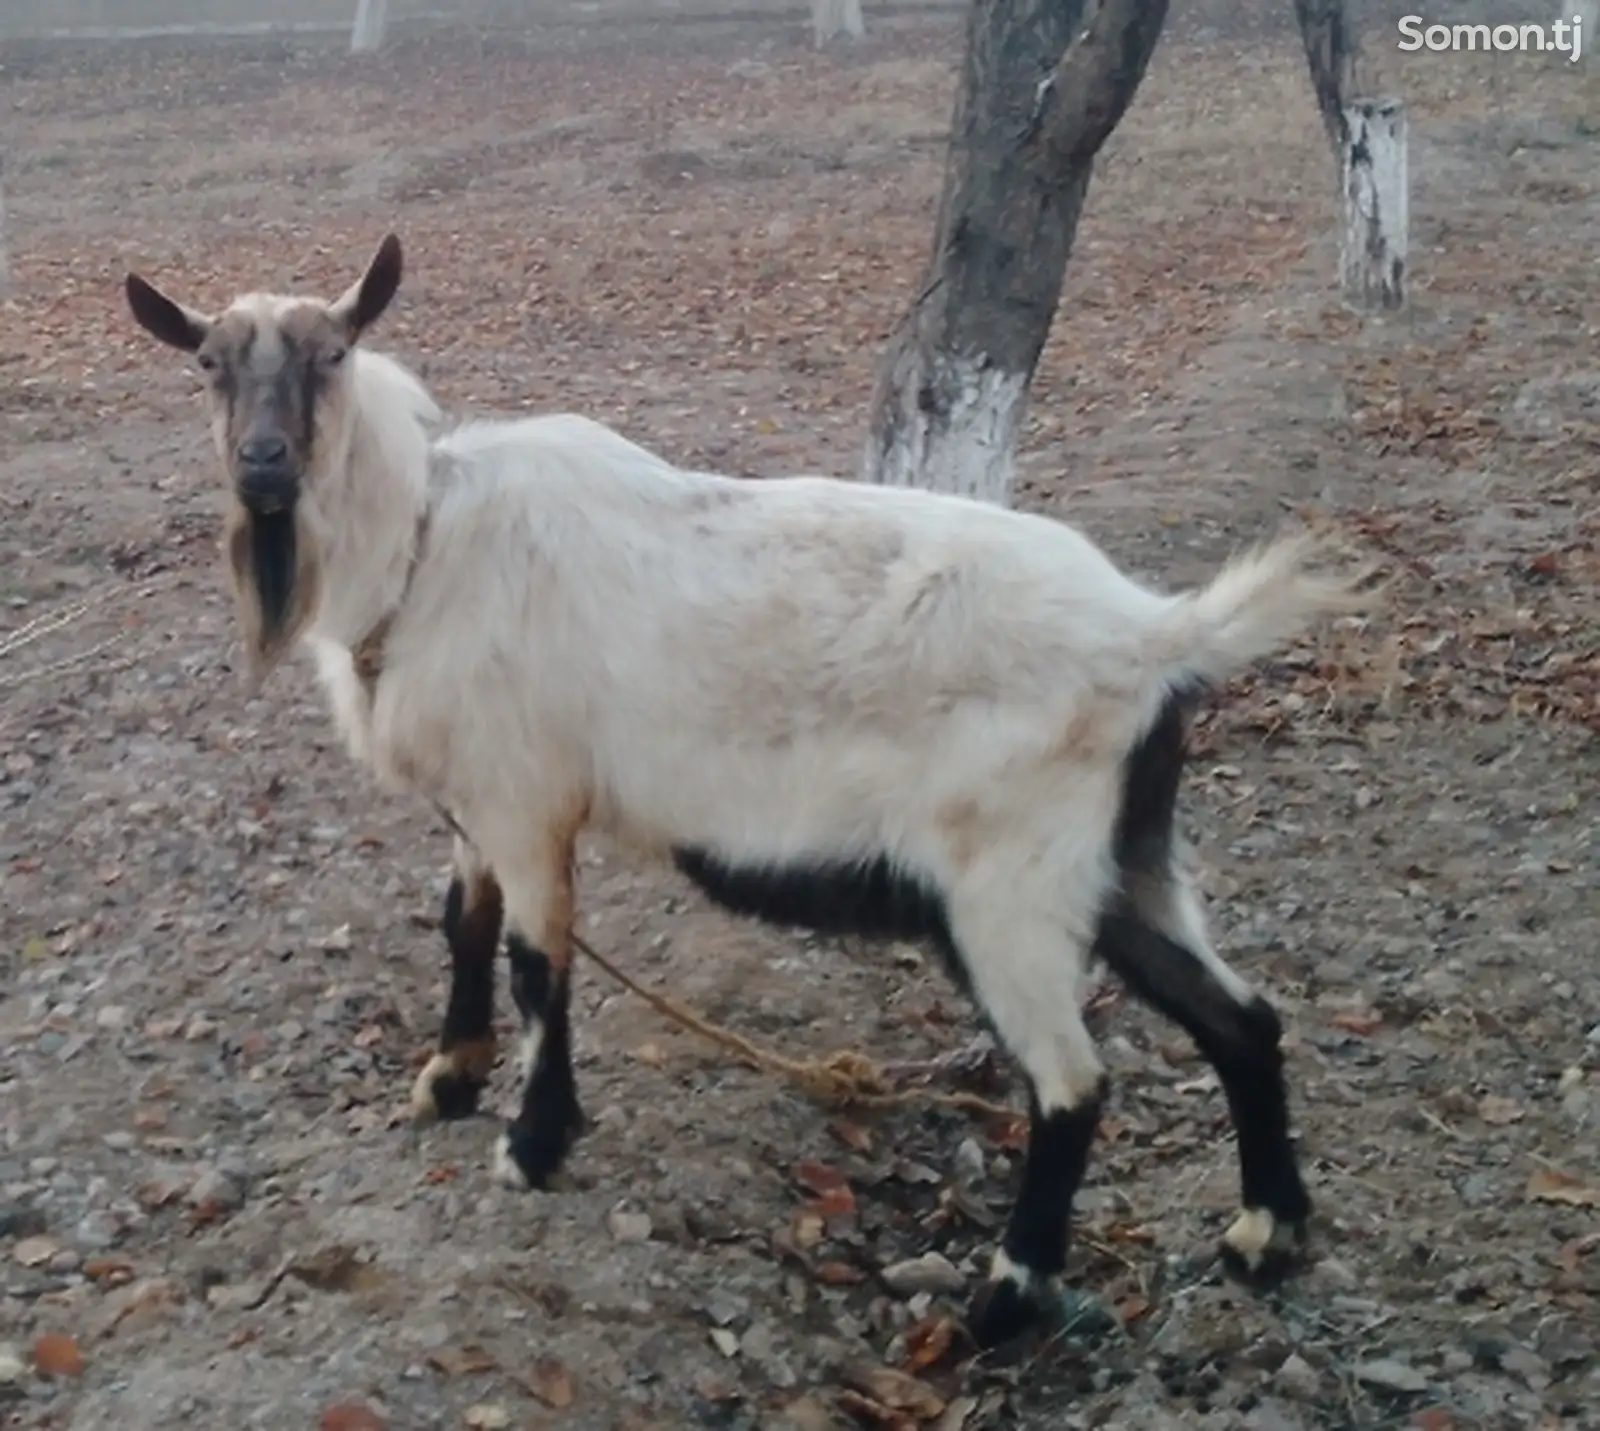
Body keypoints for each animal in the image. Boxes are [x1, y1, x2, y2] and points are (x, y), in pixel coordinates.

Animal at [124, 238, 1363, 1357]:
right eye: (209, 365)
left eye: (331, 355)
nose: (264, 466)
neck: (426, 542)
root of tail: (1159, 634)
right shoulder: (479, 802)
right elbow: (461, 924)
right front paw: (449, 1080)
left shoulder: (526, 802)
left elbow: (535, 963)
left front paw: (532, 1146)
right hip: (1123, 861)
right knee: (1242, 1019)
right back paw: (1265, 1234)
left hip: (1008, 888)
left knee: (1071, 1084)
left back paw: (1003, 1303)